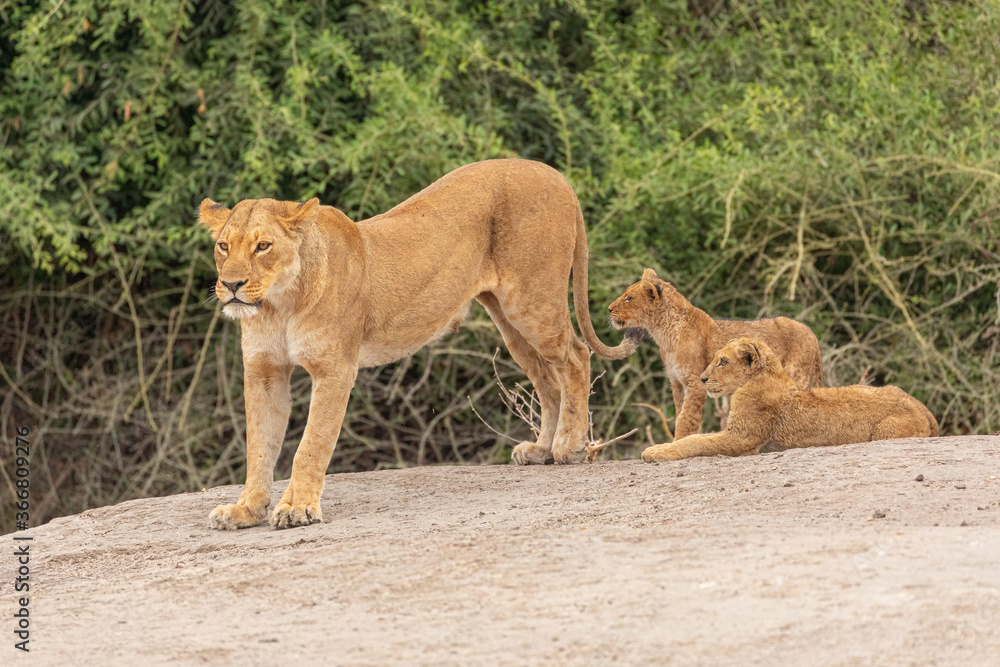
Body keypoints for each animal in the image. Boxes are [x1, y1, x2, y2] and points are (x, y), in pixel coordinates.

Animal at [199, 158, 641, 530]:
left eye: (263, 246)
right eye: (224, 246)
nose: (232, 285)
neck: (279, 306)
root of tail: (554, 174)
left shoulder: (335, 369)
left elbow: (311, 443)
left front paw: (297, 507)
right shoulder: (264, 371)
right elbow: (259, 443)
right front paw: (246, 509)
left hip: (533, 303)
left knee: (576, 357)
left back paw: (569, 445)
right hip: (510, 323)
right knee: (547, 382)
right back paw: (542, 450)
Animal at [608, 269, 824, 439]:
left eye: (628, 298)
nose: (609, 309)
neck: (663, 334)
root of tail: (811, 331)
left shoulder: (695, 383)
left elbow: (686, 420)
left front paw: (677, 443)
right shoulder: (676, 383)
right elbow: (680, 415)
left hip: (796, 375)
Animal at [641, 337, 938, 462]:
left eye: (722, 362)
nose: (702, 379)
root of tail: (923, 408)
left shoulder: (742, 438)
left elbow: (695, 442)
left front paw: (656, 452)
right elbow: (696, 437)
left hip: (885, 431)